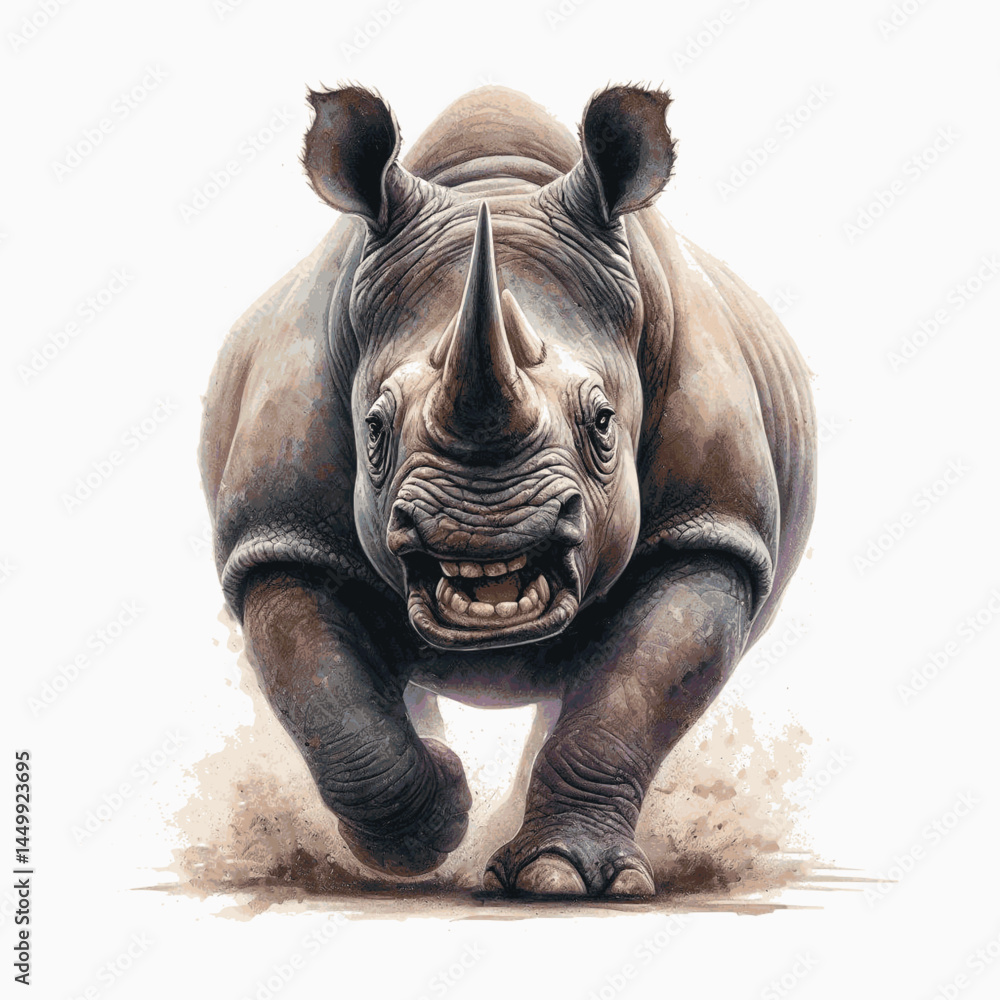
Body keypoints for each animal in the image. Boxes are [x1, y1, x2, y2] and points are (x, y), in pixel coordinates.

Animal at [199, 84, 816, 898]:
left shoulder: (712, 528)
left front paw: (561, 877)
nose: (484, 528)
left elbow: (628, 703)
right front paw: (431, 824)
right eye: (374, 429)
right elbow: (328, 703)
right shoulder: (280, 535)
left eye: (603, 422)